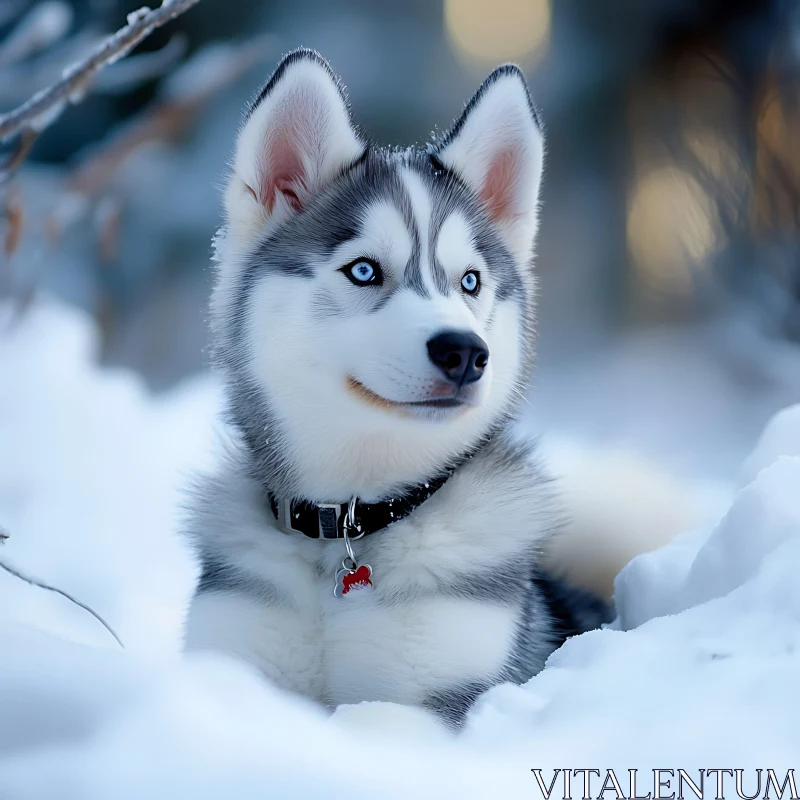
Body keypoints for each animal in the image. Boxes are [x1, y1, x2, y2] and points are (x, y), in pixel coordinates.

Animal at [183, 48, 664, 724]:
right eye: (363, 270)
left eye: (470, 281)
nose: (465, 353)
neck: (349, 527)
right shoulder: (229, 655)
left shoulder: (441, 694)